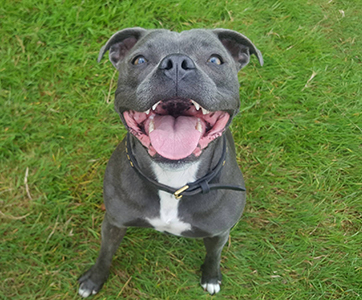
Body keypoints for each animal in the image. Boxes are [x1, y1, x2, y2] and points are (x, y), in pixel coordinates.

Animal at [78, 26, 262, 298]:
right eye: (139, 60)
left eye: (215, 60)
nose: (176, 63)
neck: (174, 183)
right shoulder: (113, 222)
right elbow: (105, 253)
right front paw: (93, 280)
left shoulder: (219, 233)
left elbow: (214, 255)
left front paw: (211, 277)